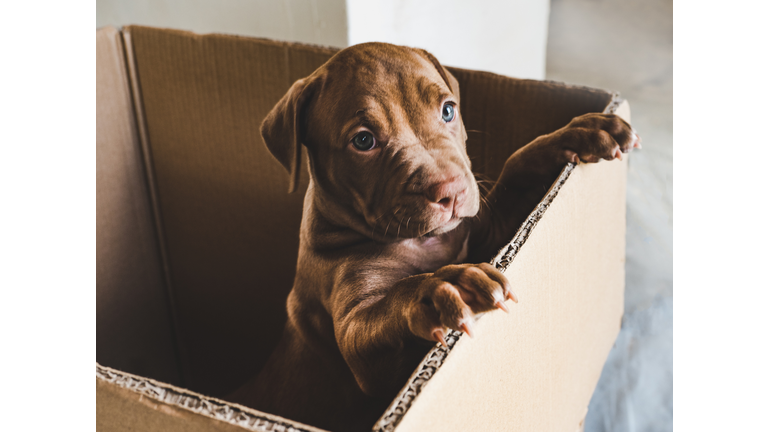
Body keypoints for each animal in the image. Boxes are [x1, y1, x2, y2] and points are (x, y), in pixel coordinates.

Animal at [226, 41, 636, 432]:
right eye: (364, 141)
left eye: (448, 111)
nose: (450, 191)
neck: (426, 241)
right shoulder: (360, 342)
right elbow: (388, 308)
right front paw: (444, 287)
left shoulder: (488, 230)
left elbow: (517, 167)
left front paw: (577, 133)